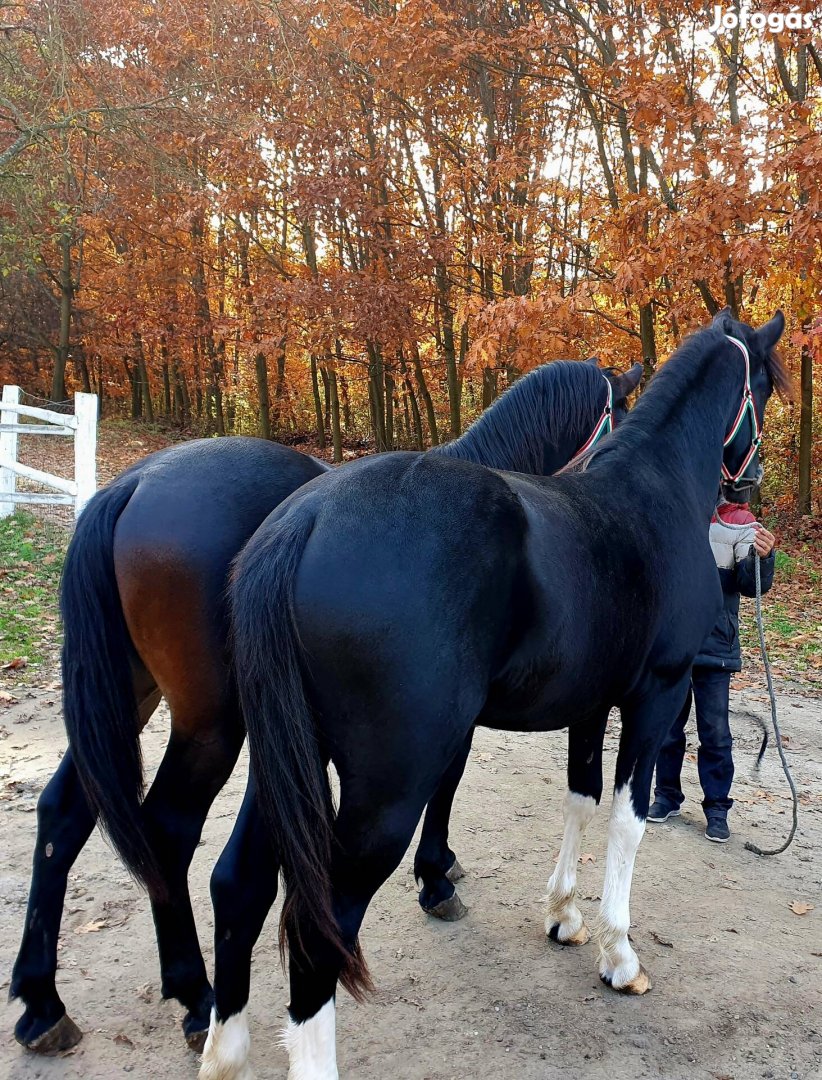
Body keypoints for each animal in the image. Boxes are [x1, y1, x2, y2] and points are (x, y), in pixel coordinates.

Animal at [12, 354, 639, 1054]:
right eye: (619, 417)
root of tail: (135, 484)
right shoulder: (437, 725)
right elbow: (445, 785)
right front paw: (435, 876)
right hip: (209, 725)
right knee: (168, 830)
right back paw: (195, 994)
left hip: (128, 695)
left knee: (63, 813)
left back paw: (42, 1001)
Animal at [208, 308, 786, 1075]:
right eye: (765, 385)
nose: (750, 485)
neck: (652, 495)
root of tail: (305, 521)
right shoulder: (656, 697)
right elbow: (627, 820)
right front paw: (620, 955)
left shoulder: (589, 705)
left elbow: (580, 798)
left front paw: (563, 915)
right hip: (384, 790)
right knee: (320, 923)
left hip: (285, 765)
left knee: (237, 884)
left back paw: (222, 1051)